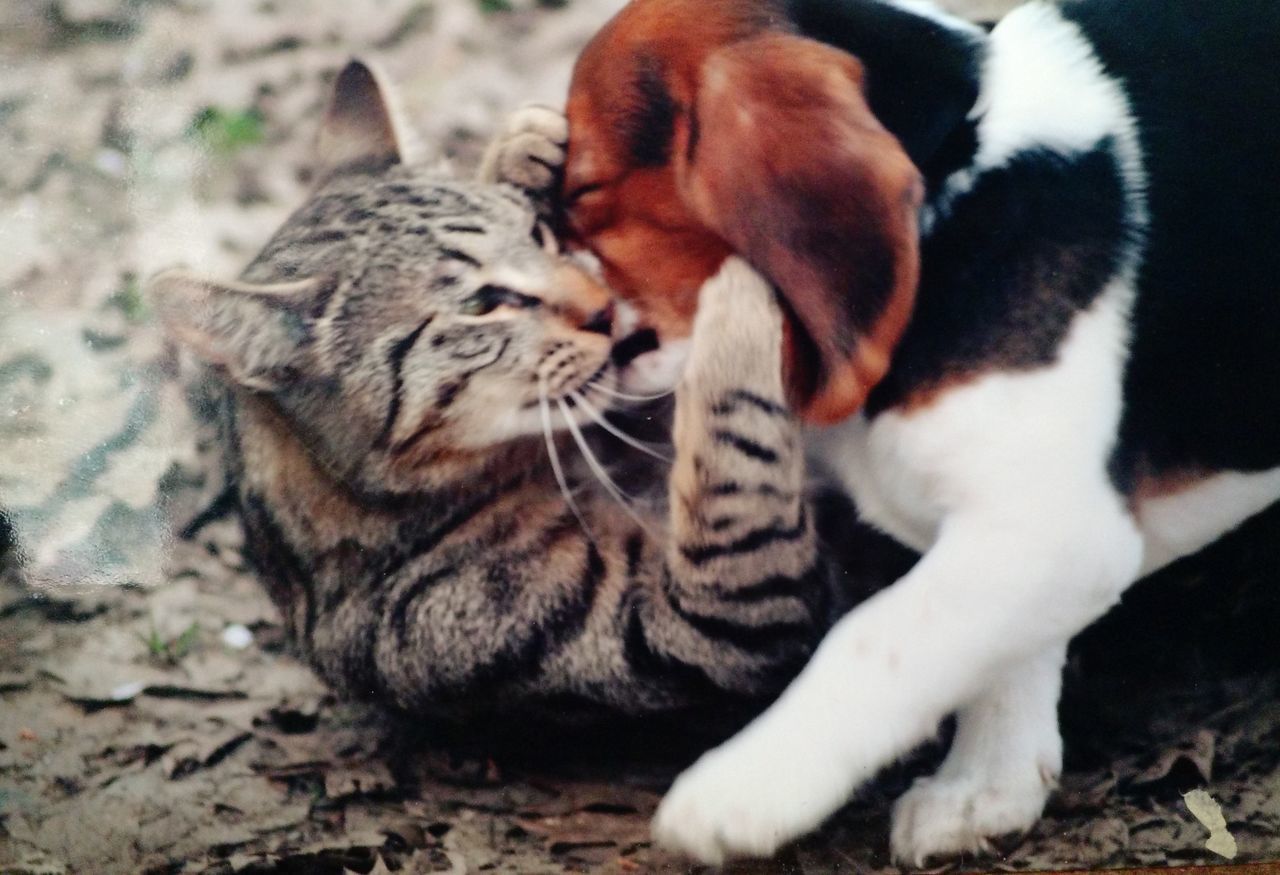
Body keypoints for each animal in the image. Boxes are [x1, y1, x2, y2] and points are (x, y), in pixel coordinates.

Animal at [154, 63, 855, 726]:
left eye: (540, 237)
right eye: (482, 305)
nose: (603, 311)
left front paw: (520, 150)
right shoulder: (705, 624)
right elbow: (736, 457)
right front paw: (738, 288)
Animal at [555, 0, 1280, 864]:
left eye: (583, 189)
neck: (955, 192)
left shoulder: (1052, 531)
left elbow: (877, 638)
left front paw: (743, 788)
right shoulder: (1019, 532)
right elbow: (996, 652)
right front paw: (986, 788)